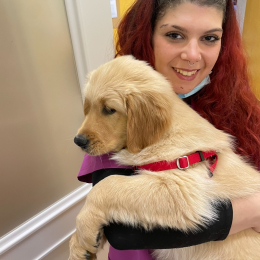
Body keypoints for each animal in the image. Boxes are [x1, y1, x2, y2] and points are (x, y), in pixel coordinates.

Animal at [69, 55, 260, 260]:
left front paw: (85, 229)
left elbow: (108, 184)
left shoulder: (181, 189)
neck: (166, 134)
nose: (78, 141)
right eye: (88, 107)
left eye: (109, 109)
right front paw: (78, 246)